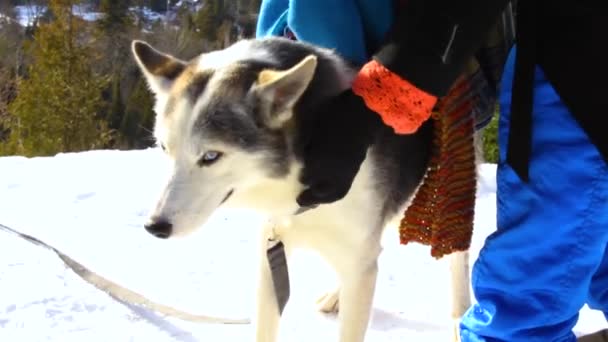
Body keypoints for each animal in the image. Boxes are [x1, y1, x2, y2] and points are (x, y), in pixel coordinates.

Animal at [131, 37, 468, 342]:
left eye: (211, 156)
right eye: (164, 148)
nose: (155, 226)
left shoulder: (358, 260)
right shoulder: (272, 252)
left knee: (456, 255)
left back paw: (461, 316)